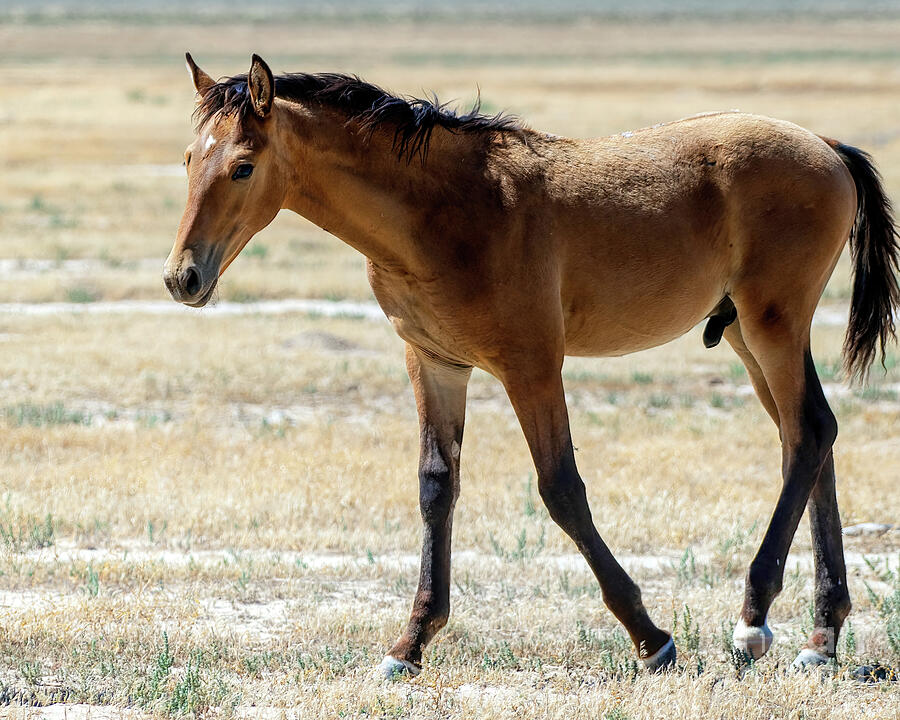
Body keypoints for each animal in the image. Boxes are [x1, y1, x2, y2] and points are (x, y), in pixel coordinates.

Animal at [163, 53, 900, 676]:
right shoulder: (434, 363)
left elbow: (561, 489)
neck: (445, 212)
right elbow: (436, 487)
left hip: (772, 324)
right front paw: (410, 645)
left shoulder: (532, 366)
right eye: (189, 158)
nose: (182, 278)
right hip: (750, 334)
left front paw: (652, 640)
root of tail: (827, 148)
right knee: (813, 436)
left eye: (243, 166)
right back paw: (821, 639)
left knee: (806, 435)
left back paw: (753, 623)